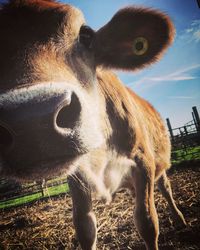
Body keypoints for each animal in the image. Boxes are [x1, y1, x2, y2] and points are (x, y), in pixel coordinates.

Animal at [0, 0, 186, 249]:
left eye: (86, 36)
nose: (32, 120)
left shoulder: (143, 161)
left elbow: (147, 221)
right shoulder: (77, 178)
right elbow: (86, 228)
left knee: (165, 187)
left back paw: (179, 219)